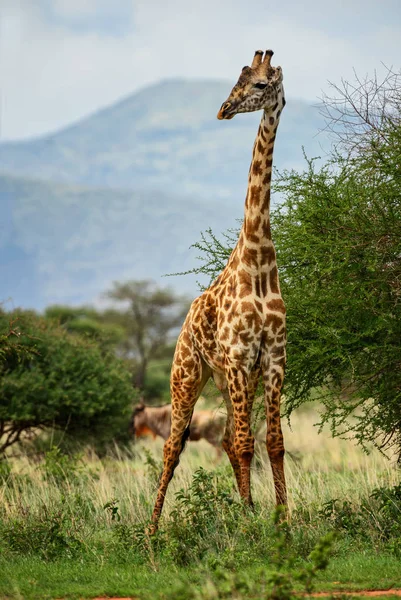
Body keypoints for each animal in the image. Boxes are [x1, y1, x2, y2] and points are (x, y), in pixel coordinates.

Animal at [149, 49, 284, 532]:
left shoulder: (273, 358)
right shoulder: (242, 357)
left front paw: (282, 520)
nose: (224, 109)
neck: (258, 260)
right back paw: (150, 533)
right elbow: (248, 444)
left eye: (261, 84)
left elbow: (272, 443)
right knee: (173, 447)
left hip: (226, 378)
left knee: (227, 438)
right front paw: (251, 528)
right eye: (237, 80)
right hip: (188, 374)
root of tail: (185, 321)